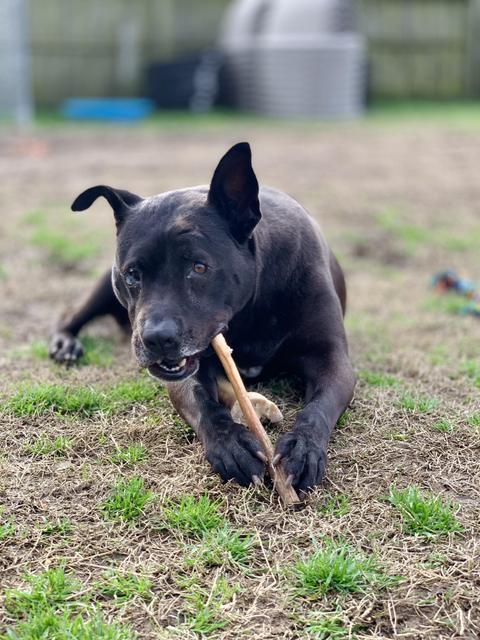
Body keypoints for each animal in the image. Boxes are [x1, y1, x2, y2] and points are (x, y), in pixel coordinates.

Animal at [50, 144, 354, 490]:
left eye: (199, 267)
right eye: (132, 275)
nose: (157, 339)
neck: (252, 306)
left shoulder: (332, 360)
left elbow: (318, 407)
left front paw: (302, 448)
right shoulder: (186, 370)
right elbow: (201, 402)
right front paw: (230, 442)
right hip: (103, 285)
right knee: (71, 313)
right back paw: (65, 344)